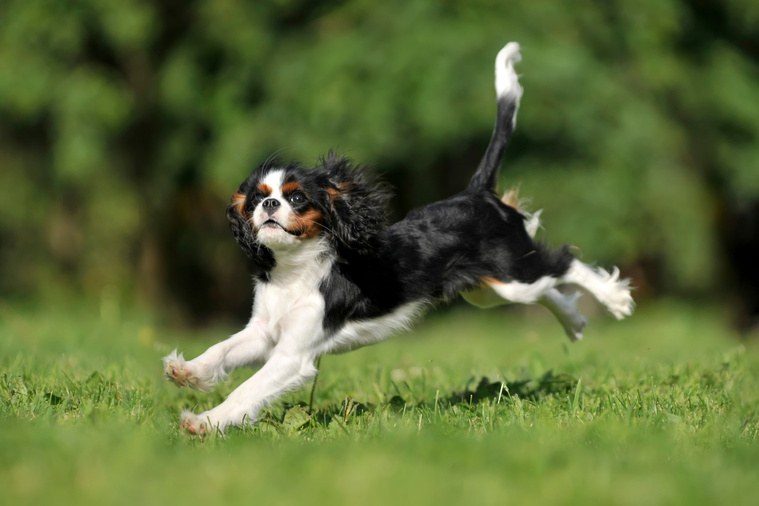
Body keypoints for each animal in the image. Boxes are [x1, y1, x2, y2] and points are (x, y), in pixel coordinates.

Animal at [166, 41, 636, 432]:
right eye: (254, 200)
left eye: (296, 198)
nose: (268, 206)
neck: (294, 271)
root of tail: (478, 193)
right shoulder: (264, 332)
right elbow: (223, 349)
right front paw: (188, 371)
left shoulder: (293, 355)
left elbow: (248, 390)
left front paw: (204, 423)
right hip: (490, 289)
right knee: (551, 288)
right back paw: (574, 322)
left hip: (512, 275)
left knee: (565, 262)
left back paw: (614, 299)